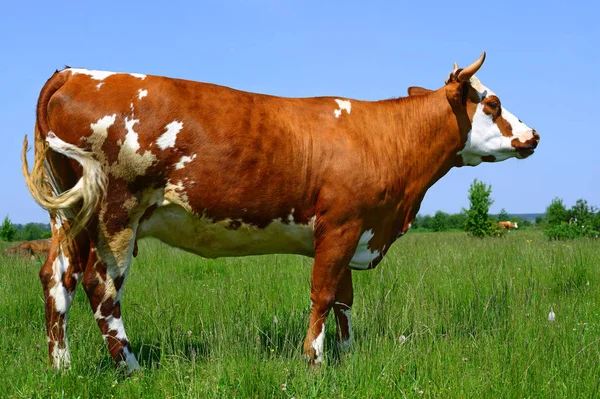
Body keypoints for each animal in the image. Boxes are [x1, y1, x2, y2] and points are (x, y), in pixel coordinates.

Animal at [22, 51, 540, 374]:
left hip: (72, 214)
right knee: (101, 287)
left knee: (58, 277)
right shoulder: (340, 226)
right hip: (117, 212)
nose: (533, 134)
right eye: (492, 104)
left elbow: (344, 301)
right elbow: (323, 295)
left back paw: (61, 366)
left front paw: (348, 356)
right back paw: (131, 368)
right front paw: (314, 362)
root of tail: (72, 72)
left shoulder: (354, 231)